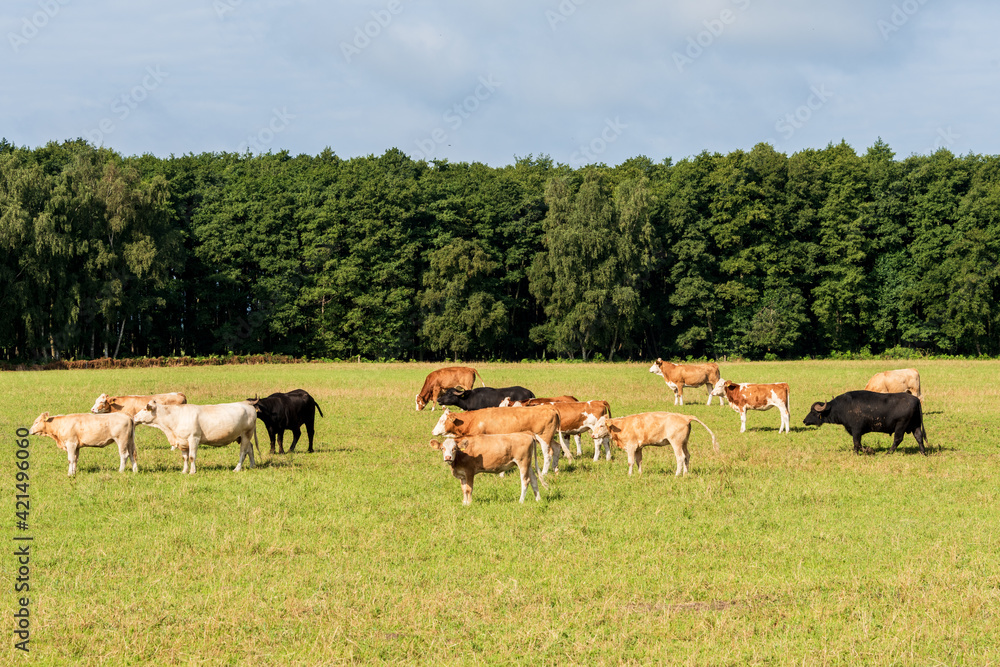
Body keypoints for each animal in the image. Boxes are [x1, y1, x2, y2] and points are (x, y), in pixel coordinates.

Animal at [434, 408, 568, 474]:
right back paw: (555, 469)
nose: (433, 431)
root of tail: (551, 409)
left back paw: (544, 472)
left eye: (442, 420)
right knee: (557, 447)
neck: (474, 419)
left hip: (543, 437)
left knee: (548, 454)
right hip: (548, 438)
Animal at [584, 410, 720, 478]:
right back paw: (685, 474)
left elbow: (630, 462)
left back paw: (677, 474)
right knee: (687, 456)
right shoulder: (638, 448)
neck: (621, 426)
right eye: (595, 425)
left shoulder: (631, 447)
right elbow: (639, 461)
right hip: (684, 443)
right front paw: (639, 474)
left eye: (602, 425)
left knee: (680, 457)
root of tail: (685, 417)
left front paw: (629, 474)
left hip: (676, 442)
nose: (593, 435)